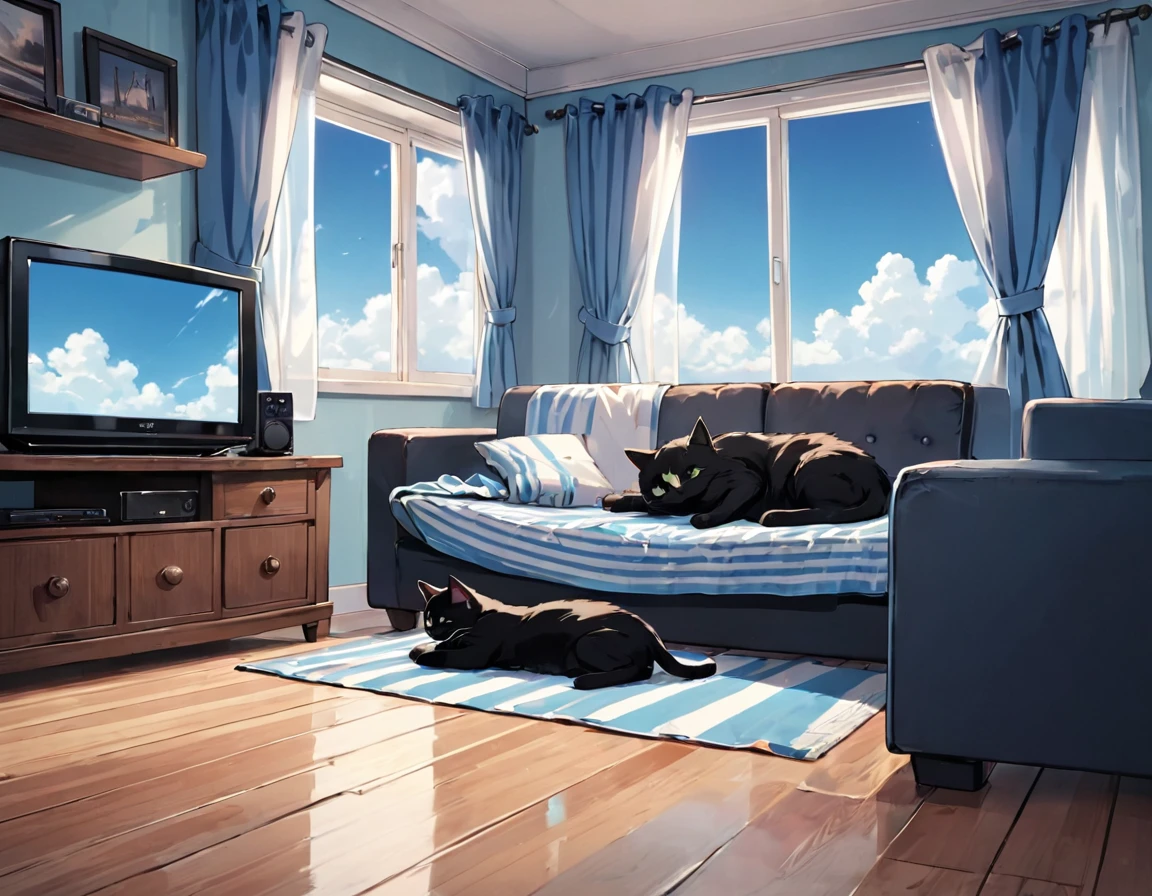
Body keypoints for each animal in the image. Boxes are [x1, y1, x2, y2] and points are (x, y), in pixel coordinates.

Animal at [410, 575, 714, 686]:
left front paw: (427, 654)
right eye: (428, 620)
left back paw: (583, 677)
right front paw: (422, 647)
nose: (431, 631)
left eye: (444, 620)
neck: (483, 616)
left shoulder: (475, 653)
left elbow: (445, 654)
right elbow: (437, 647)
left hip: (587, 642)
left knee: (641, 669)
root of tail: (652, 634)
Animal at [603, 414, 889, 527]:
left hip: (807, 466)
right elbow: (644, 502)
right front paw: (614, 500)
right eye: (661, 485)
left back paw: (771, 514)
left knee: (829, 511)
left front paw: (703, 518)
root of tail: (880, 482)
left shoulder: (749, 480)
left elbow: (728, 503)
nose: (680, 490)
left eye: (693, 472)